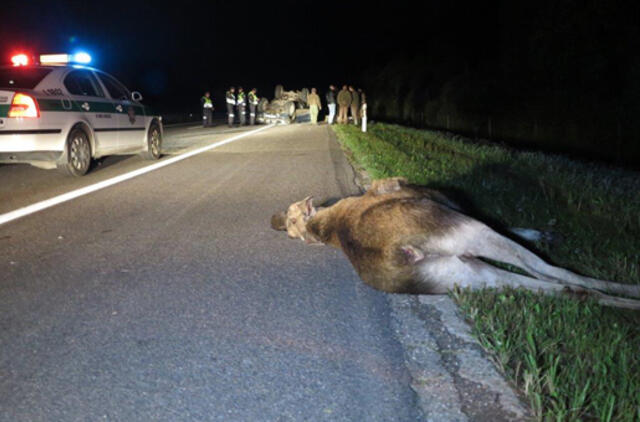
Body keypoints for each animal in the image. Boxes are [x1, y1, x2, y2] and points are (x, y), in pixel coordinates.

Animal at [270, 176, 640, 308]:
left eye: (292, 220)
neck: (325, 226)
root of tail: (403, 253)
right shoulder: (461, 211)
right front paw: (546, 233)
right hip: (472, 235)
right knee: (558, 273)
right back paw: (630, 290)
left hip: (458, 278)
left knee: (570, 289)